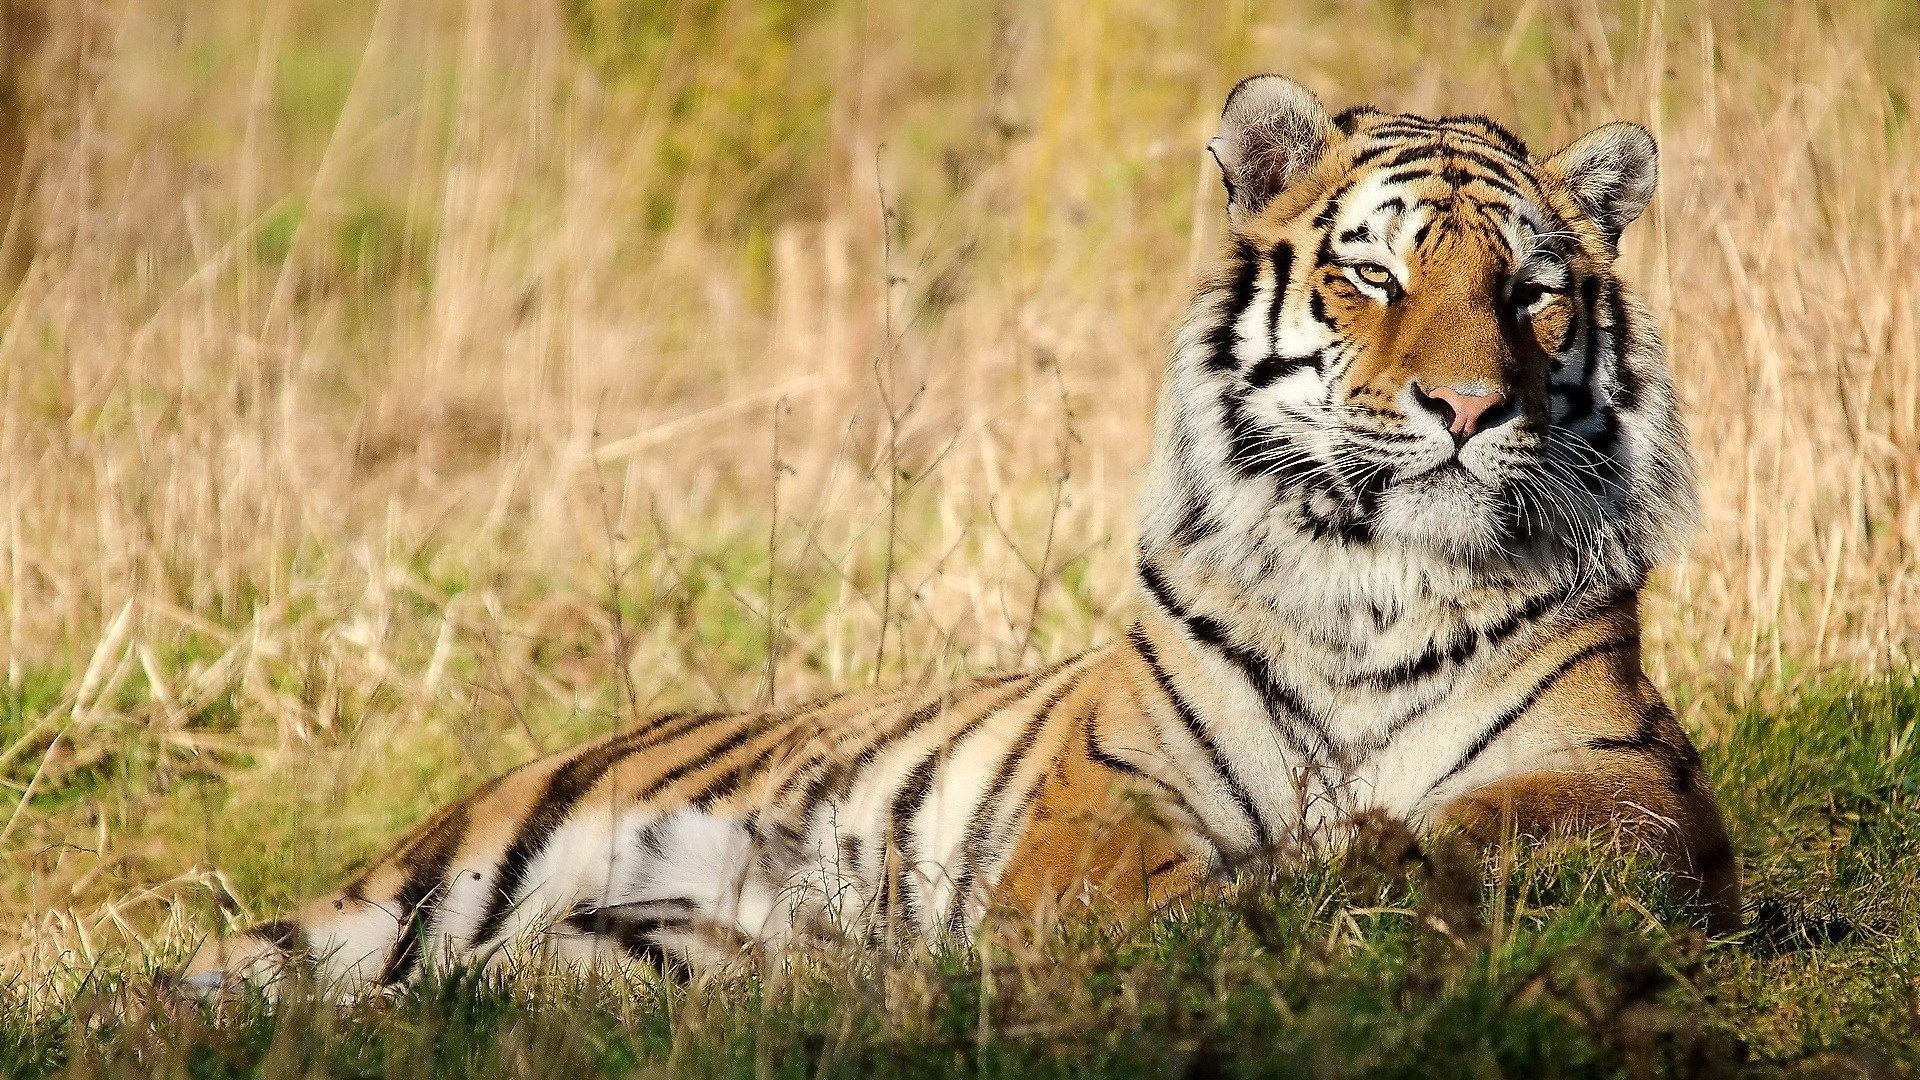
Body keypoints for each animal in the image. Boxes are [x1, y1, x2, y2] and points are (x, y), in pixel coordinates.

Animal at [182, 75, 1738, 996]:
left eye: (1532, 292)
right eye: (1374, 276)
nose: (1469, 406)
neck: (1377, 577)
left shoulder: (1633, 777)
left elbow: (1497, 826)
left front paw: (1361, 862)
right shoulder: (1107, 794)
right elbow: (1140, 885)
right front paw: (1265, 897)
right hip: (427, 890)